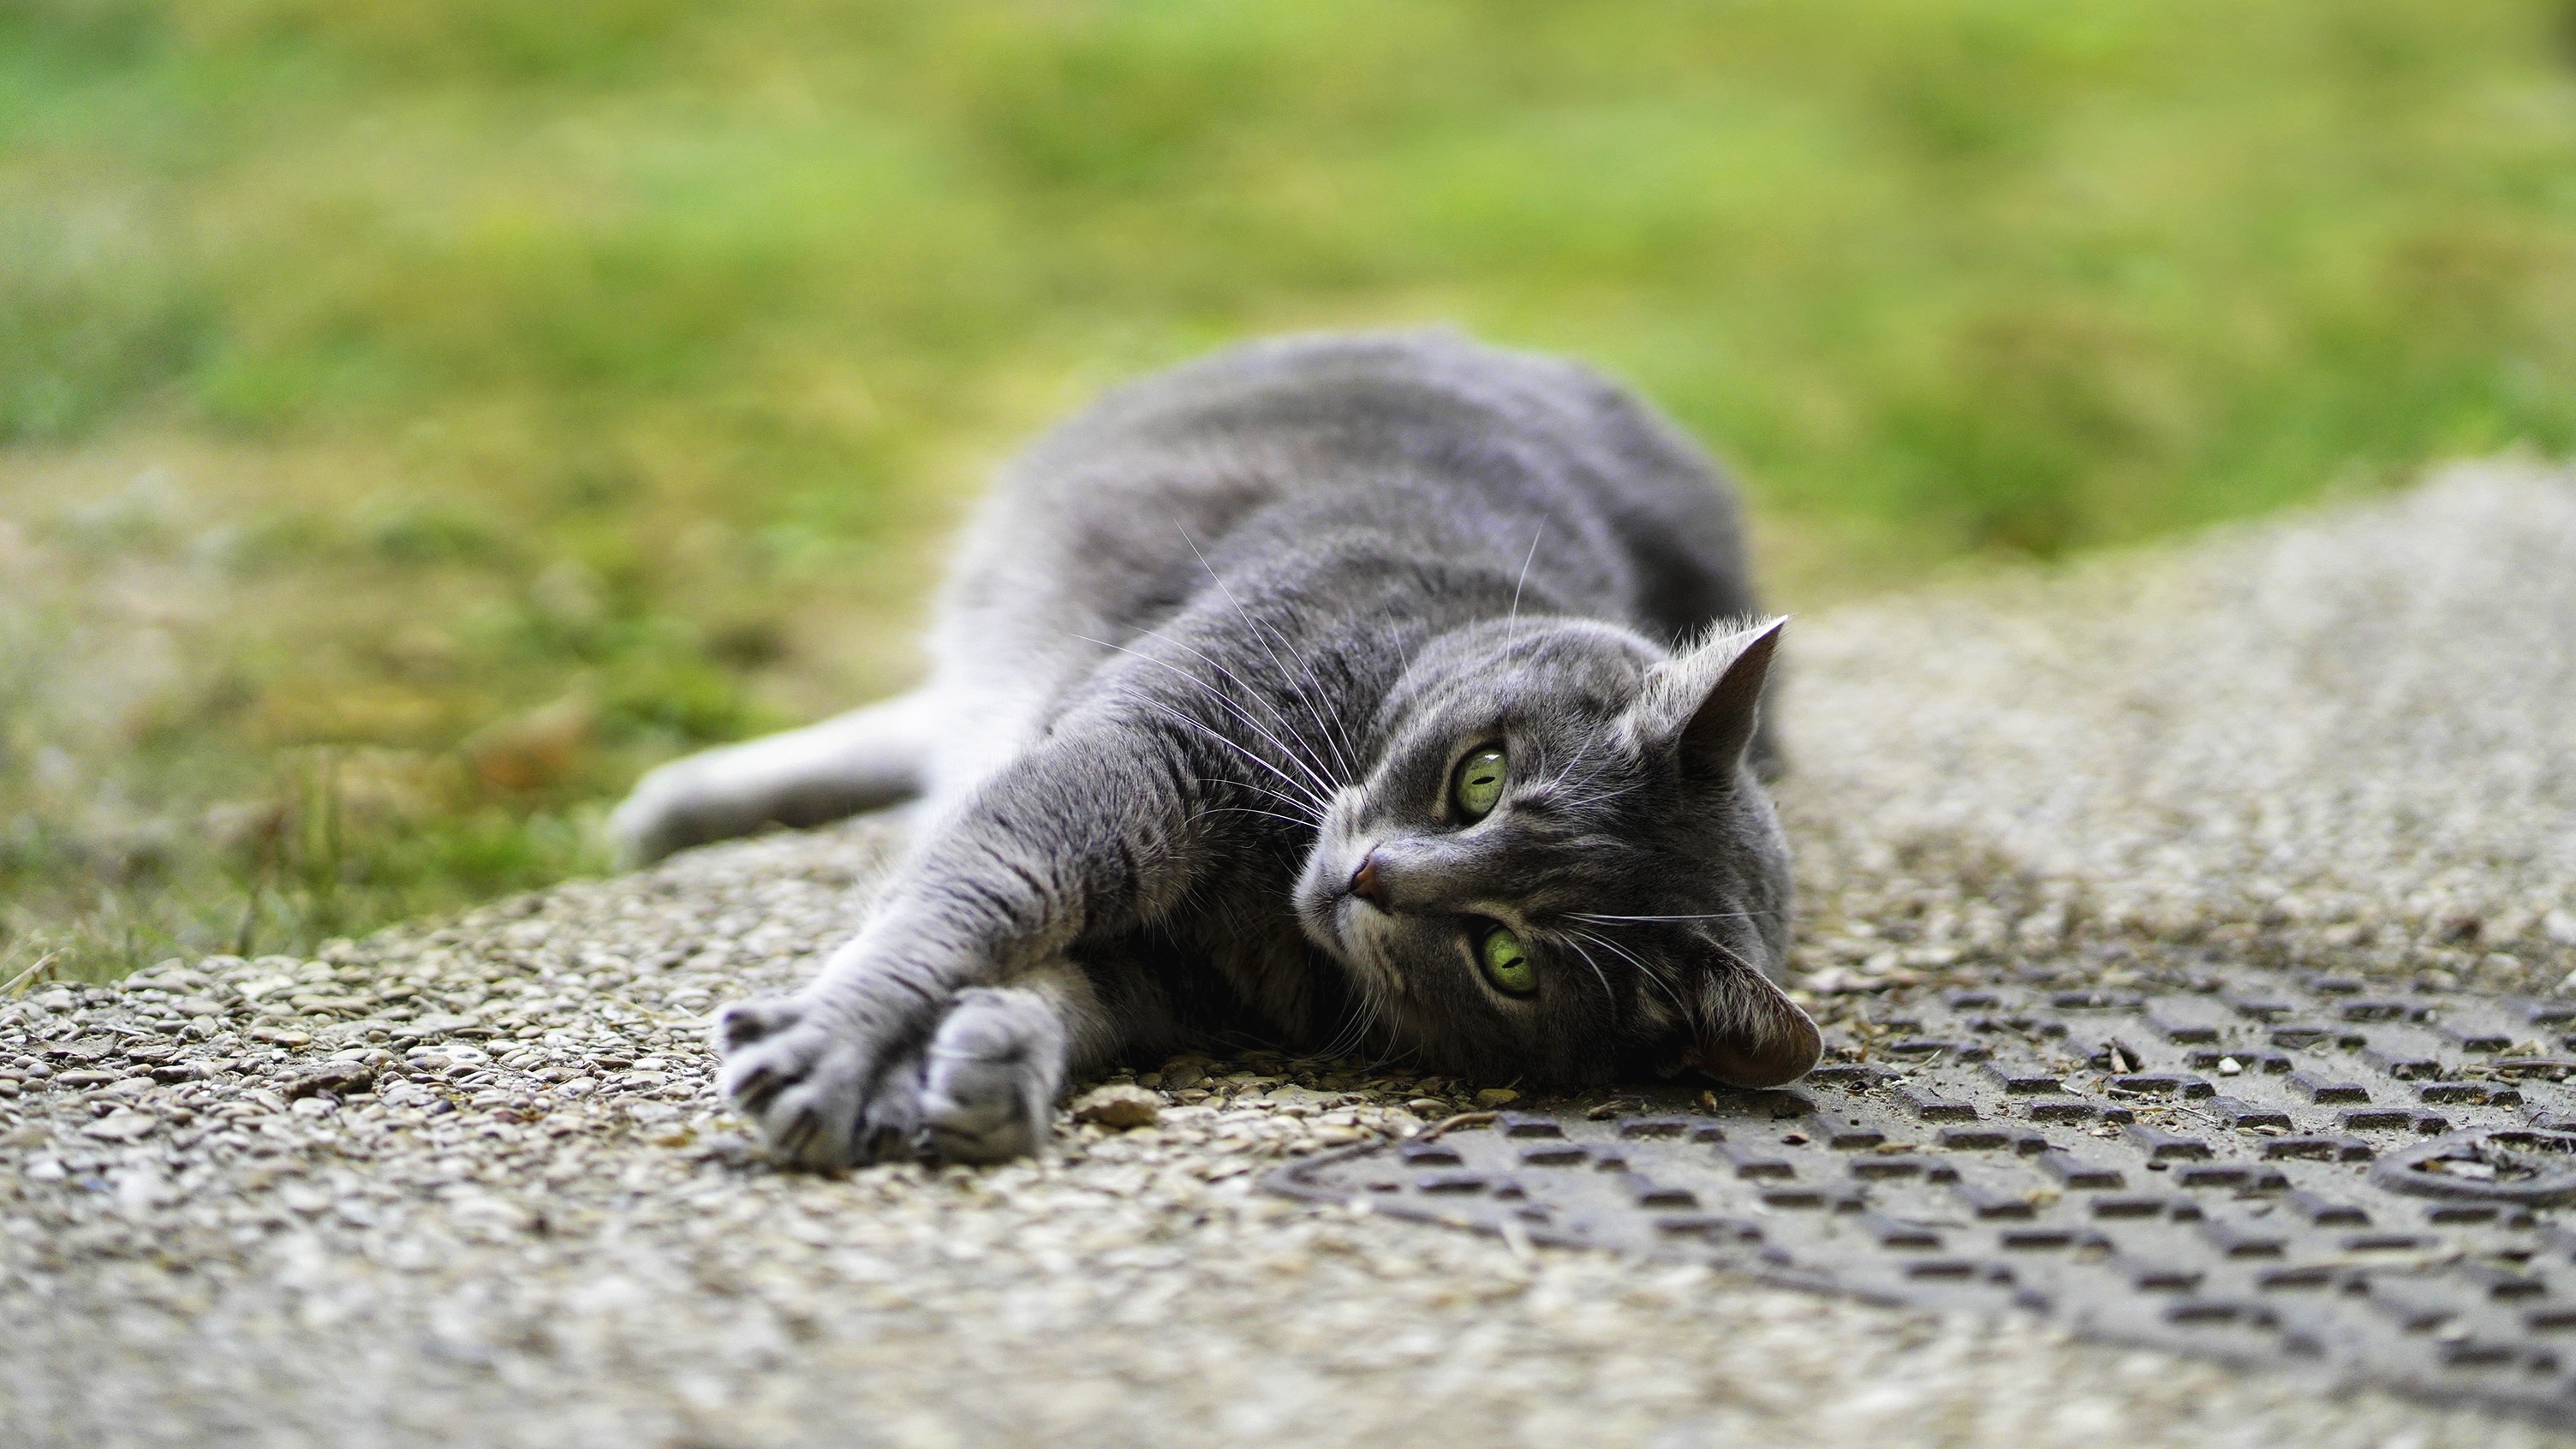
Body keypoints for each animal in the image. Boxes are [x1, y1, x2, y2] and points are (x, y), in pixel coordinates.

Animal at [607, 327, 1813, 1160]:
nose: (1374, 877)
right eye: (1481, 776)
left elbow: (1067, 986)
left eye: (1507, 960)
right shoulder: (1139, 756)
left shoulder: (1182, 977)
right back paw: (666, 811)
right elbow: (975, 901)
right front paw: (831, 1054)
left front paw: (981, 1061)